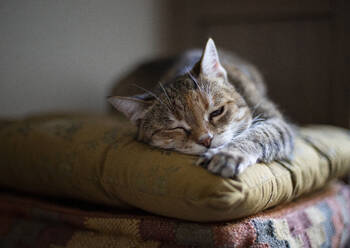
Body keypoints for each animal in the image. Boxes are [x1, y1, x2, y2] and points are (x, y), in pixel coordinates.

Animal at [108, 38, 294, 178]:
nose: (206, 140)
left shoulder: (277, 122)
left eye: (217, 112)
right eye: (176, 127)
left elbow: (257, 134)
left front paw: (228, 154)